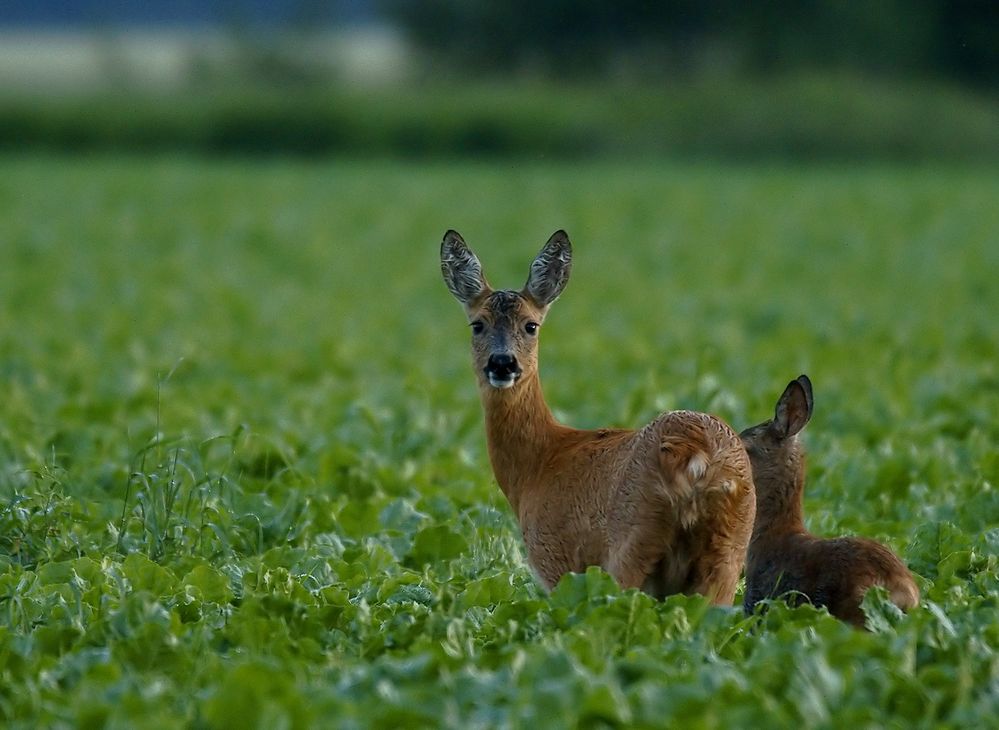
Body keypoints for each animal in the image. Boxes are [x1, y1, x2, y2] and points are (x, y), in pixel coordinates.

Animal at [442, 229, 752, 604]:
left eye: (531, 325)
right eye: (477, 324)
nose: (502, 363)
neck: (538, 464)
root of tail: (697, 454)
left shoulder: (555, 559)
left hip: (630, 544)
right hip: (729, 551)